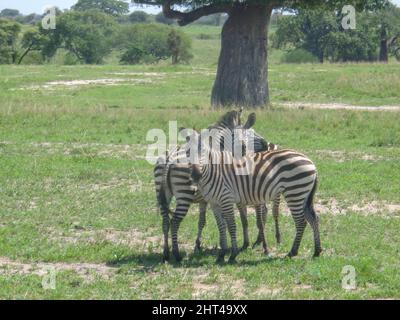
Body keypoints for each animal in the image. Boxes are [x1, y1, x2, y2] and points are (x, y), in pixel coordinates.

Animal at [153, 110, 278, 262]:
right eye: (251, 132)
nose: (266, 144)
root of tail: (170, 157)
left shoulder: (209, 198)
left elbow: (205, 221)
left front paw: (200, 246)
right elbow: (231, 221)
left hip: (162, 193)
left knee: (165, 222)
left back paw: (166, 253)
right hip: (184, 195)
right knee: (174, 222)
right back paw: (176, 254)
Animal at [183, 129, 324, 264]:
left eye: (204, 153)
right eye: (187, 152)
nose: (195, 175)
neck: (213, 172)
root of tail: (311, 162)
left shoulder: (226, 199)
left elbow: (232, 227)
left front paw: (233, 254)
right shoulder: (214, 203)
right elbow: (222, 227)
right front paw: (222, 255)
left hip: (294, 192)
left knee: (301, 222)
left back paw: (292, 252)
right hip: (302, 195)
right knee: (313, 218)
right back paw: (317, 251)